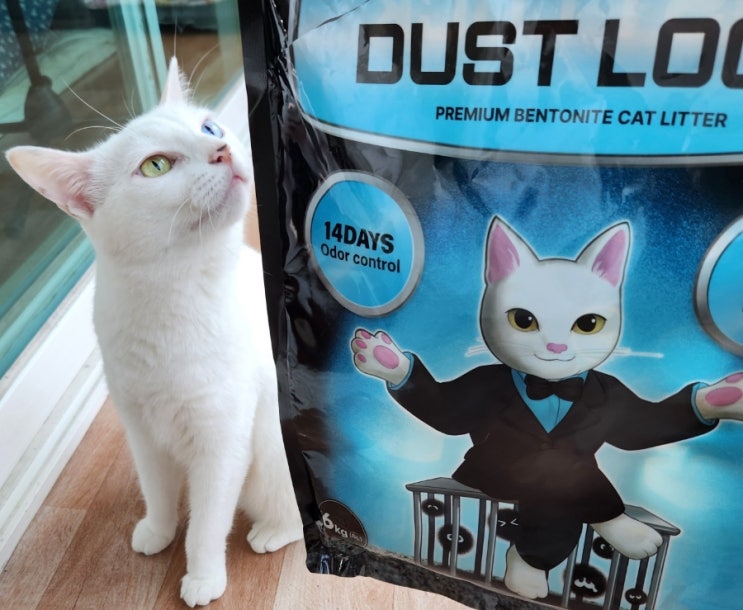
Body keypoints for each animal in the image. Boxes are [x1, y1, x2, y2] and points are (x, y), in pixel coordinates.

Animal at [6, 58, 303, 607]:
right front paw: (157, 532)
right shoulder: (141, 431)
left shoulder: (222, 444)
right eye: (156, 167)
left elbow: (206, 524)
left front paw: (202, 576)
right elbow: (158, 492)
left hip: (271, 464)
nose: (221, 149)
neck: (173, 297)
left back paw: (272, 532)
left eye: (209, 128)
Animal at [351, 216, 743, 600]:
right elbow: (445, 411)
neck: (551, 386)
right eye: (522, 320)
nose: (556, 347)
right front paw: (388, 361)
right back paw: (526, 575)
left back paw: (629, 535)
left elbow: (644, 425)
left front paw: (719, 397)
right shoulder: (478, 391)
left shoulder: (613, 398)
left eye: (588, 324)